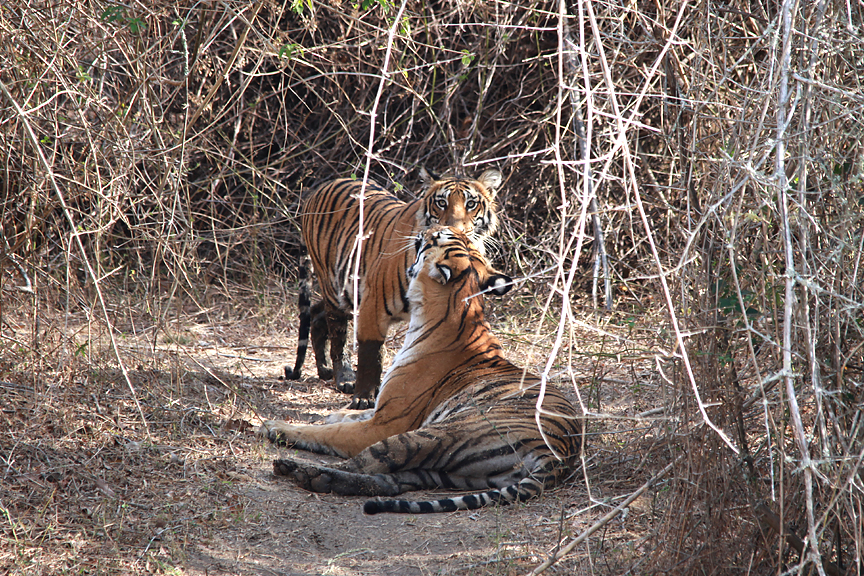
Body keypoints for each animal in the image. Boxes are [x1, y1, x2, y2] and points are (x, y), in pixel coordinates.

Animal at [256, 225, 580, 512]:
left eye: (438, 237)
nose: (426, 227)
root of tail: (558, 454)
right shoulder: (384, 410)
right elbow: (350, 415)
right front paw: (333, 414)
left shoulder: (387, 423)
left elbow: (330, 433)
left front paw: (279, 425)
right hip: (451, 472)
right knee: (388, 481)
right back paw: (315, 477)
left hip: (433, 434)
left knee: (365, 463)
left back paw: (296, 467)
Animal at [288, 168, 502, 410]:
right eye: (441, 203)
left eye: (471, 203)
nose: (456, 229)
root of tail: (318, 189)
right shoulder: (373, 305)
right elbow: (371, 355)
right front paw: (364, 397)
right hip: (334, 286)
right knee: (338, 334)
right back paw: (344, 377)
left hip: (348, 292)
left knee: (316, 312)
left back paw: (324, 369)